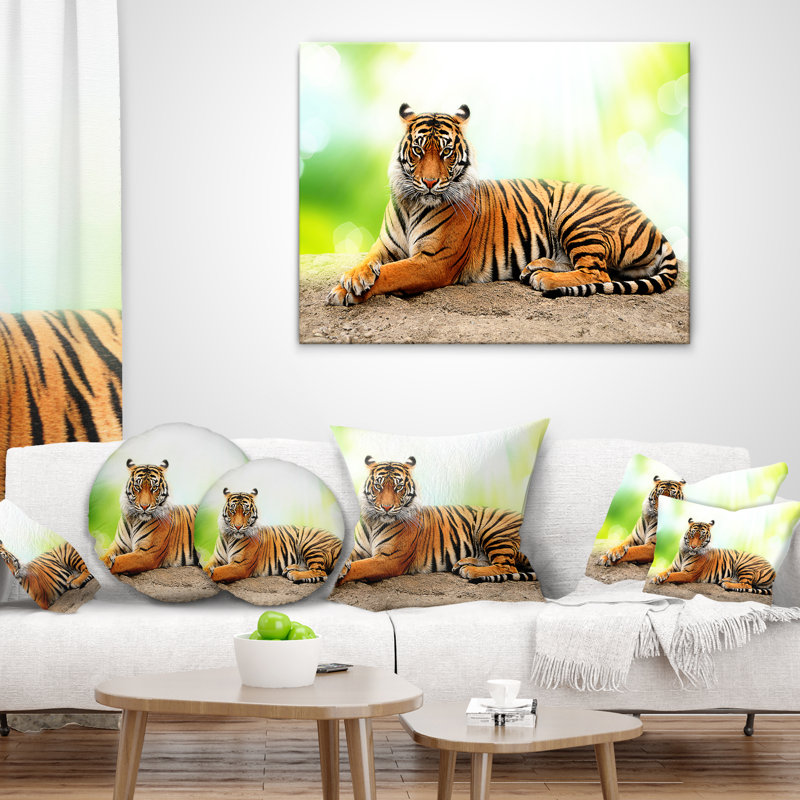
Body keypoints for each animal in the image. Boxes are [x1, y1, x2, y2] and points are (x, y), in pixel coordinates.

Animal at [204, 488, 342, 584]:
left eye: (246, 511)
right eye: (232, 510)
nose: (238, 527)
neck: (229, 537)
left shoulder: (240, 565)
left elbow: (217, 572)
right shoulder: (216, 559)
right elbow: (206, 567)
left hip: (310, 544)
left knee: (321, 571)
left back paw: (294, 574)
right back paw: (290, 568)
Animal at [326, 104, 678, 307]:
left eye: (446, 152)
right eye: (418, 150)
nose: (428, 182)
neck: (414, 202)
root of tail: (654, 225)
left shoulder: (434, 261)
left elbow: (391, 274)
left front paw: (345, 292)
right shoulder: (386, 246)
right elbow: (368, 262)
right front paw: (352, 279)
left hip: (577, 217)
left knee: (597, 271)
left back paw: (545, 279)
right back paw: (537, 266)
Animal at [336, 456, 536, 584]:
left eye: (398, 487)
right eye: (378, 486)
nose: (386, 507)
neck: (374, 521)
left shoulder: (389, 559)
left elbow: (358, 567)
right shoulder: (360, 550)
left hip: (492, 529)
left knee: (508, 567)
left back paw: (469, 570)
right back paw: (463, 562)